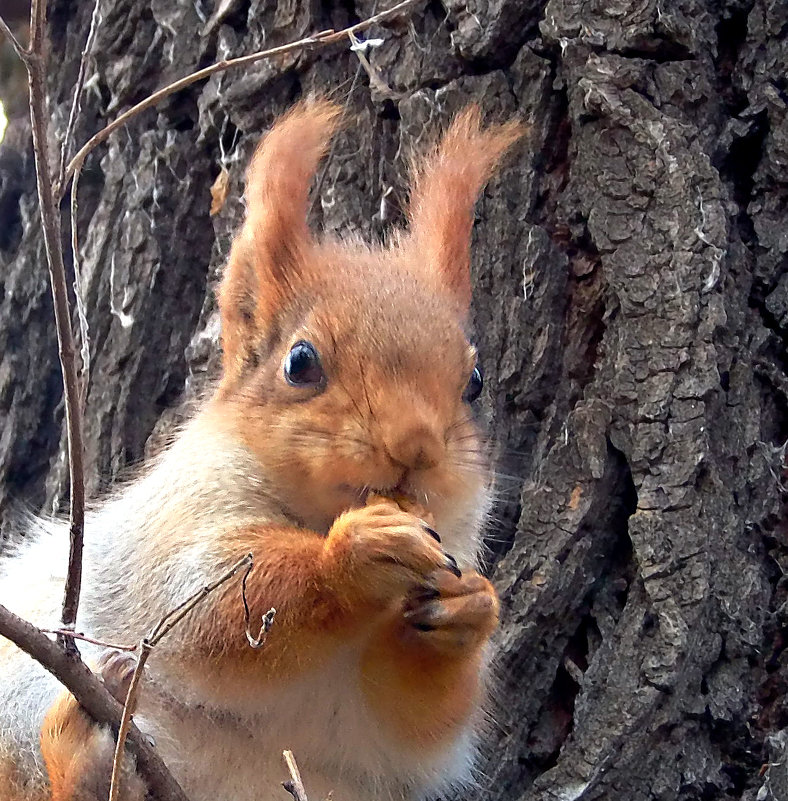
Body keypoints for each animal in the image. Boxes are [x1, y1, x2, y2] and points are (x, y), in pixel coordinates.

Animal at [0, 97, 524, 796]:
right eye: (300, 363)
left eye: (475, 381)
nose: (415, 447)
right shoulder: (174, 534)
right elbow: (213, 609)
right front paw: (352, 555)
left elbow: (414, 723)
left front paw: (470, 610)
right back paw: (80, 755)